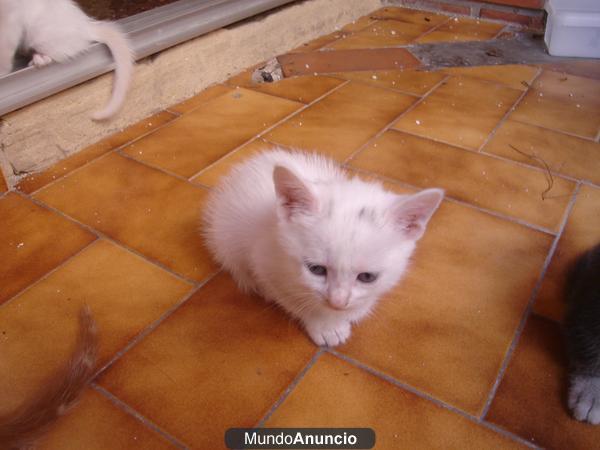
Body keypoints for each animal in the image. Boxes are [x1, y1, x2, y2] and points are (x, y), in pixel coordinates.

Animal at [0, 0, 132, 120]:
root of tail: (85, 26)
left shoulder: (10, 23)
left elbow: (4, 57)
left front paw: (2, 74)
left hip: (39, 34)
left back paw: (38, 58)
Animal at [204, 149, 442, 346]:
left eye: (367, 277)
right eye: (316, 269)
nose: (338, 302)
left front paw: (354, 311)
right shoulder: (264, 260)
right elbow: (290, 298)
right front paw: (325, 325)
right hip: (226, 237)